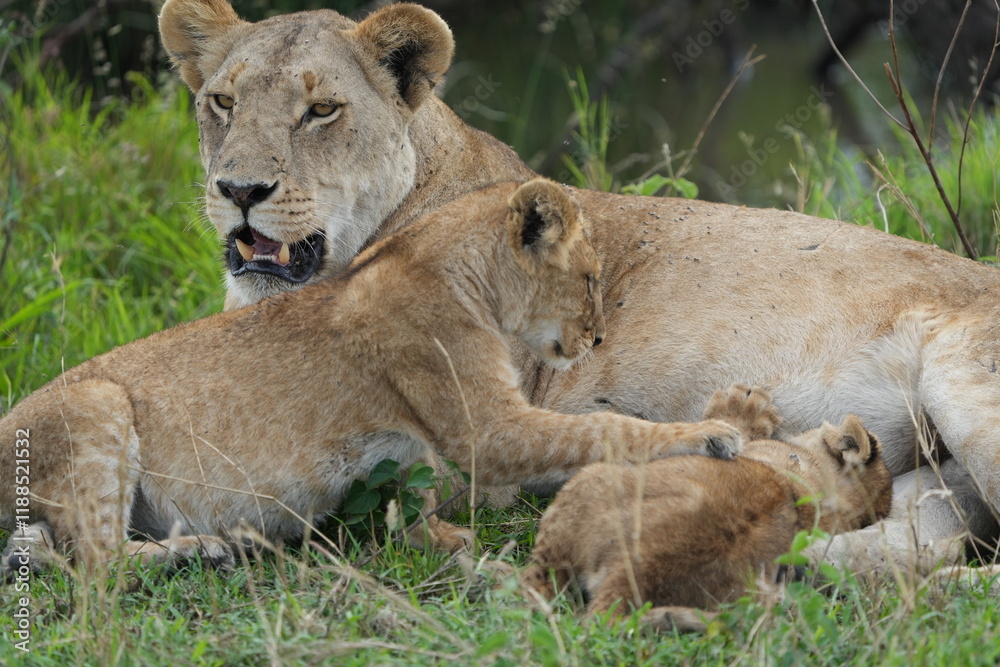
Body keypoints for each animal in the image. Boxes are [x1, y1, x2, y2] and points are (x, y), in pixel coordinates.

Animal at [0, 179, 742, 577]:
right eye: (589, 279)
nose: (596, 339)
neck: (463, 277)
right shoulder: (490, 428)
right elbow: (605, 428)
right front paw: (713, 434)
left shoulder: (420, 446)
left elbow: (416, 496)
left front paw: (435, 537)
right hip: (95, 400)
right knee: (96, 564)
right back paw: (203, 549)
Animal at [158, 1, 1000, 572]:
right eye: (222, 100)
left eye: (322, 109)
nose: (239, 189)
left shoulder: (463, 450)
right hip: (930, 483)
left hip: (968, 395)